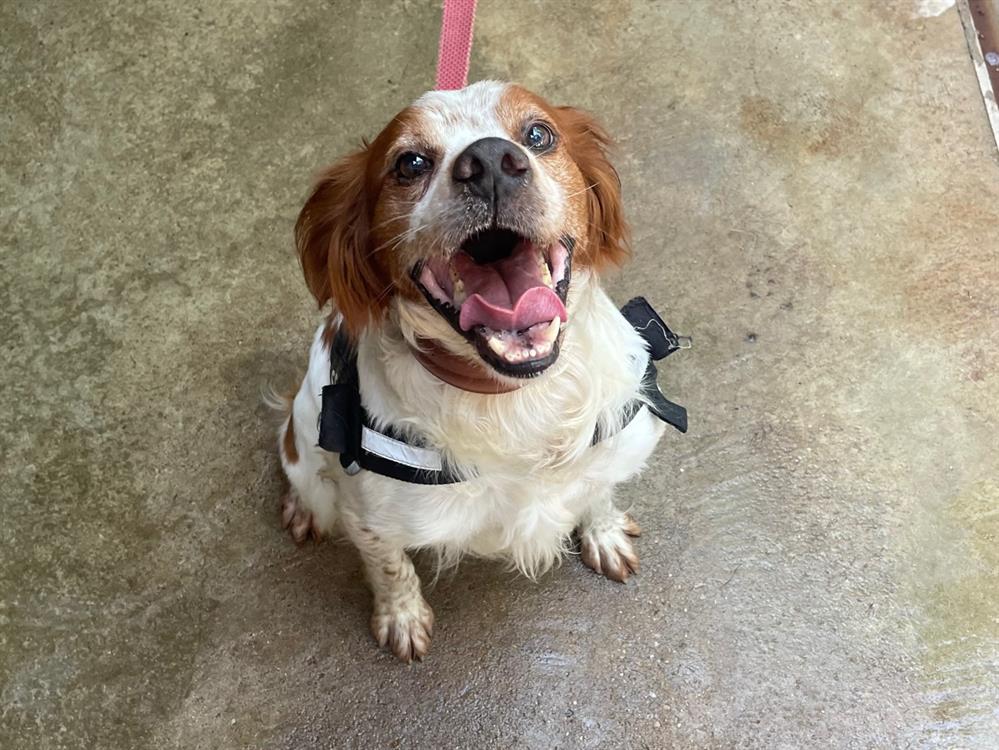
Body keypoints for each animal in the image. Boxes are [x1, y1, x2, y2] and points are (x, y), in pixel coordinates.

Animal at [278, 81, 669, 662]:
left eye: (539, 134)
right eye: (410, 163)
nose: (489, 163)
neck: (514, 399)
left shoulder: (606, 443)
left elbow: (597, 488)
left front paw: (603, 533)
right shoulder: (369, 520)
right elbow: (391, 569)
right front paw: (402, 617)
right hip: (304, 434)